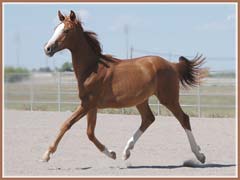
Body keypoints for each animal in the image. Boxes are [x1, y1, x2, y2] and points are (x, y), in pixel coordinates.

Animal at [42, 10, 206, 164]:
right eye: (56, 28)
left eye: (66, 30)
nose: (47, 48)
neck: (92, 68)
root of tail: (172, 65)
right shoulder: (91, 106)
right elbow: (90, 133)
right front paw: (112, 153)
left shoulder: (87, 104)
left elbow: (66, 124)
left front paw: (46, 155)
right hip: (141, 100)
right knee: (148, 119)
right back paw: (126, 151)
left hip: (168, 98)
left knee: (183, 119)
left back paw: (200, 155)